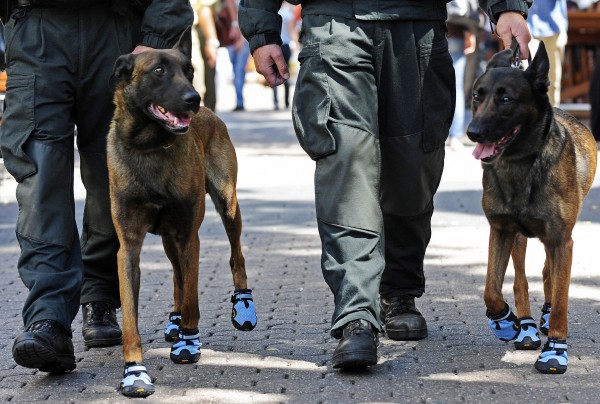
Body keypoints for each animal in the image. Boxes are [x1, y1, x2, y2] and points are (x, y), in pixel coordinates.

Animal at [106, 27, 256, 398]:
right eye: (159, 71)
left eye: (189, 71)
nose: (194, 98)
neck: (150, 147)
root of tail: (211, 113)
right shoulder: (129, 247)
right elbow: (130, 316)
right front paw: (134, 371)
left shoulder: (190, 235)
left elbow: (191, 296)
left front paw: (189, 341)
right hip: (168, 237)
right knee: (175, 274)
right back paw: (173, 321)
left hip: (227, 204)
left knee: (235, 255)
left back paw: (242, 306)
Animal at [466, 42, 596, 374]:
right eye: (477, 96)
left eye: (506, 99)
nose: (472, 132)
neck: (521, 164)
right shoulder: (501, 230)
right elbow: (491, 288)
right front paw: (504, 322)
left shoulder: (561, 241)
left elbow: (561, 299)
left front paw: (556, 349)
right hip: (518, 238)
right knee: (521, 280)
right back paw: (524, 326)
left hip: (555, 240)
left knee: (549, 274)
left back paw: (546, 320)